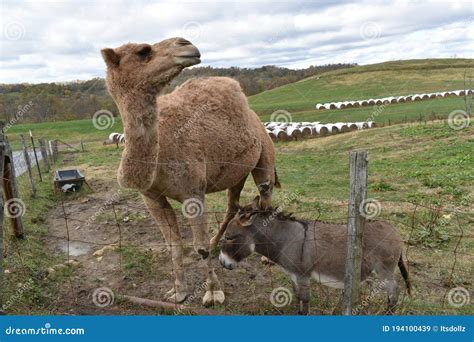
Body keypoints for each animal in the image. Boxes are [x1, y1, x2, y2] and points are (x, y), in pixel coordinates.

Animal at [100, 38, 278, 306]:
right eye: (143, 51)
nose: (186, 44)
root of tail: (255, 117)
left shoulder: (193, 193)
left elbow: (199, 246)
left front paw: (213, 293)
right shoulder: (151, 197)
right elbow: (174, 245)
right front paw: (178, 291)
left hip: (264, 157)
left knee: (266, 199)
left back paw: (267, 256)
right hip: (236, 172)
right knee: (233, 204)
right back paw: (218, 241)